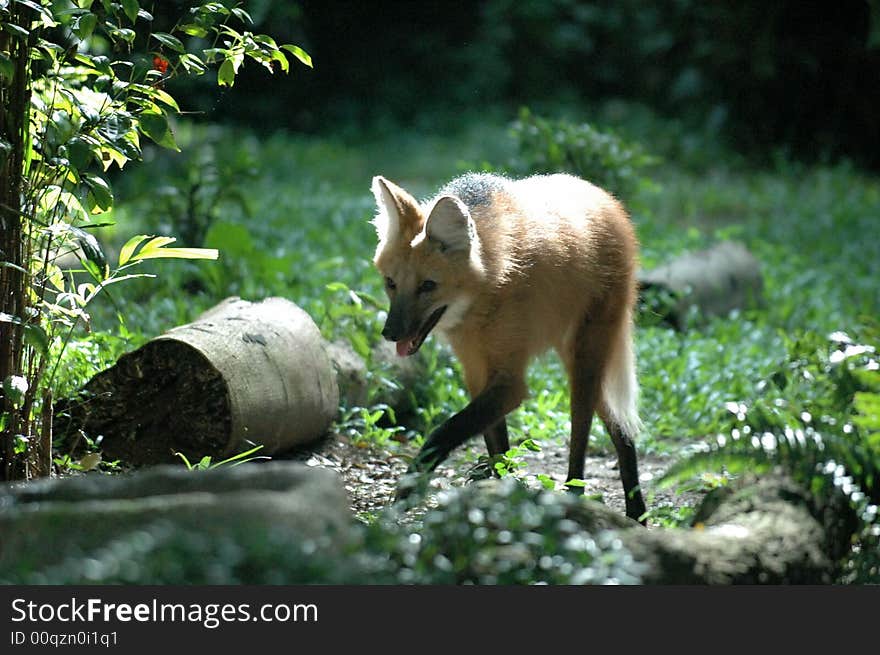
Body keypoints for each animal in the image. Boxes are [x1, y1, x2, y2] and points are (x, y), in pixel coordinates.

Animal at [370, 173, 648, 524]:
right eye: (391, 283)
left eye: (427, 286)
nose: (389, 333)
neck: (484, 292)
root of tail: (605, 197)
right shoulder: (478, 373)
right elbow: (496, 446)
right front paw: (499, 495)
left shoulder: (510, 382)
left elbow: (444, 431)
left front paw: (407, 490)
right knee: (620, 427)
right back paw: (637, 513)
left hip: (586, 357)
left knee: (582, 431)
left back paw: (578, 497)